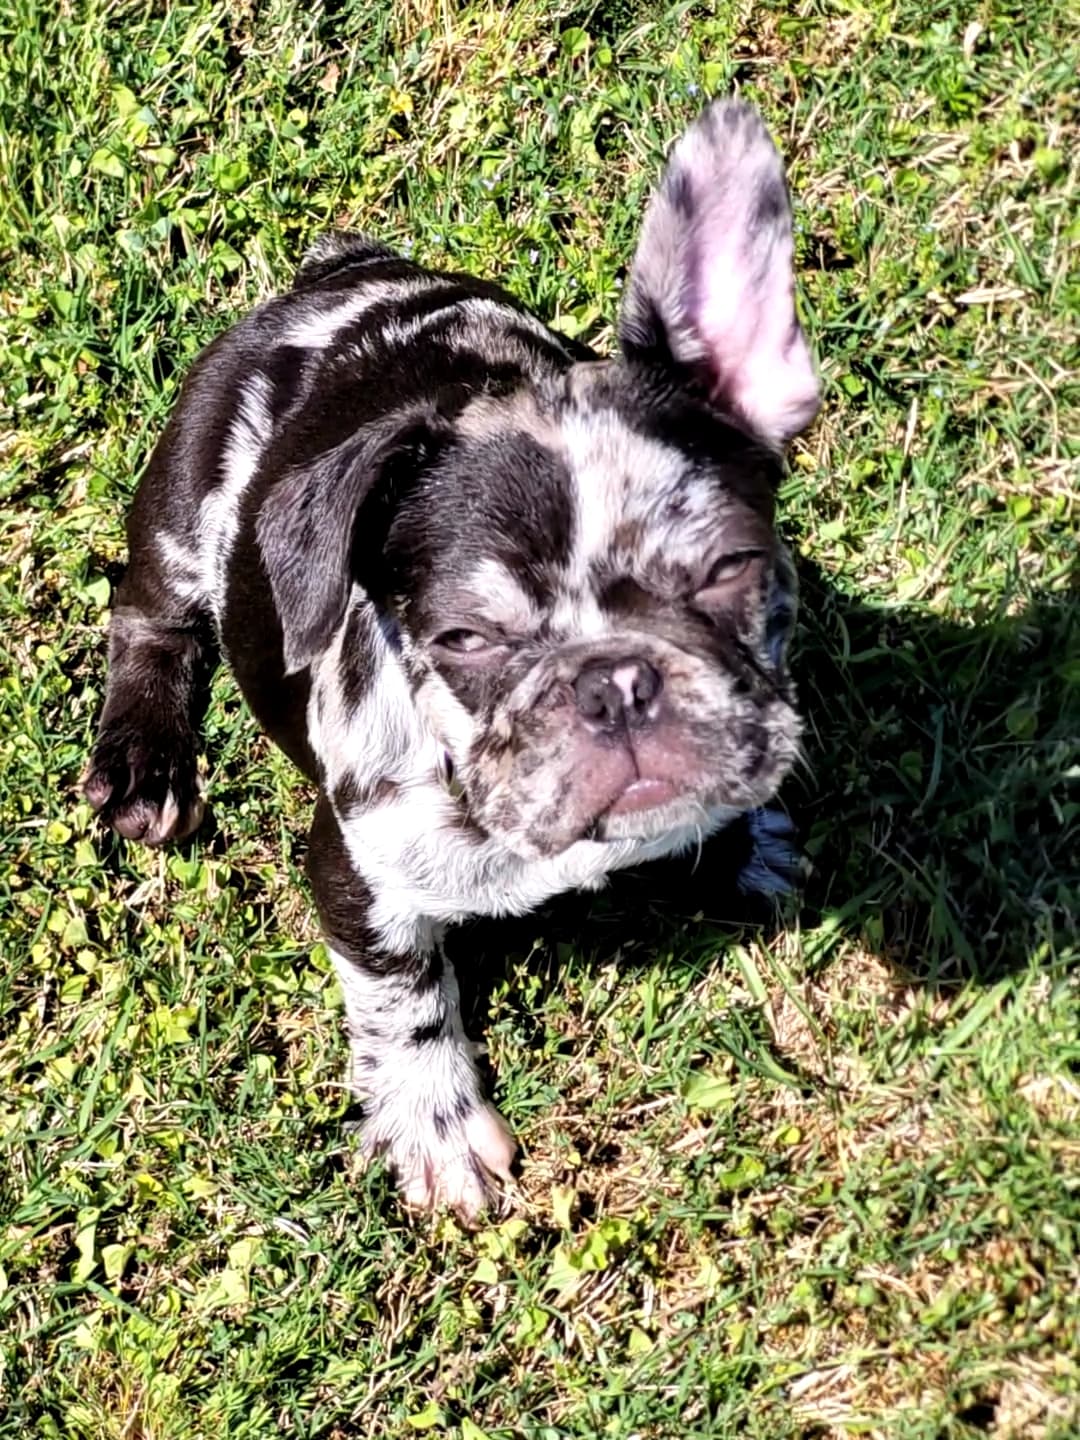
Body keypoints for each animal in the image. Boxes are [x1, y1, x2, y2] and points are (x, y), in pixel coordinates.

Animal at [84, 98, 820, 1221]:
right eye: (463, 641)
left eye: (732, 567)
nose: (616, 682)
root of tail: (337, 274)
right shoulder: (361, 874)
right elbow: (404, 994)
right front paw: (435, 1126)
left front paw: (748, 842)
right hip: (183, 503)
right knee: (148, 616)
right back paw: (143, 764)